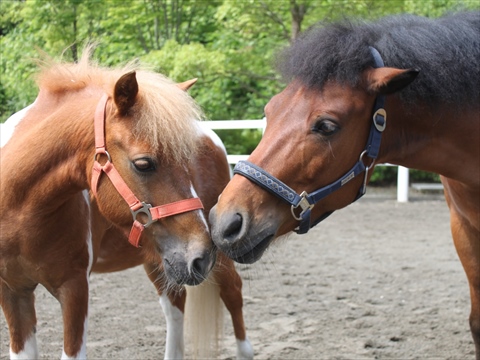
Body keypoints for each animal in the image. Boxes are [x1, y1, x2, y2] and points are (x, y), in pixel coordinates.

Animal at [0, 48, 253, 360]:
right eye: (143, 163)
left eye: (187, 161)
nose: (202, 256)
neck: (19, 212)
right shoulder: (13, 293)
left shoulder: (75, 289)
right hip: (159, 261)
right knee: (175, 307)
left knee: (233, 293)